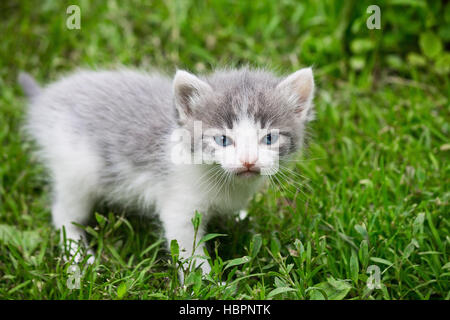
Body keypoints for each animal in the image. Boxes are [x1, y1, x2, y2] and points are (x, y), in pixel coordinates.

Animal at [19, 67, 314, 272]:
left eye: (269, 138)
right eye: (222, 140)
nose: (248, 161)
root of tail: (46, 101)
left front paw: (241, 217)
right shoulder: (179, 209)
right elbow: (190, 253)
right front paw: (208, 285)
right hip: (78, 171)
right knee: (64, 212)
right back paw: (80, 258)